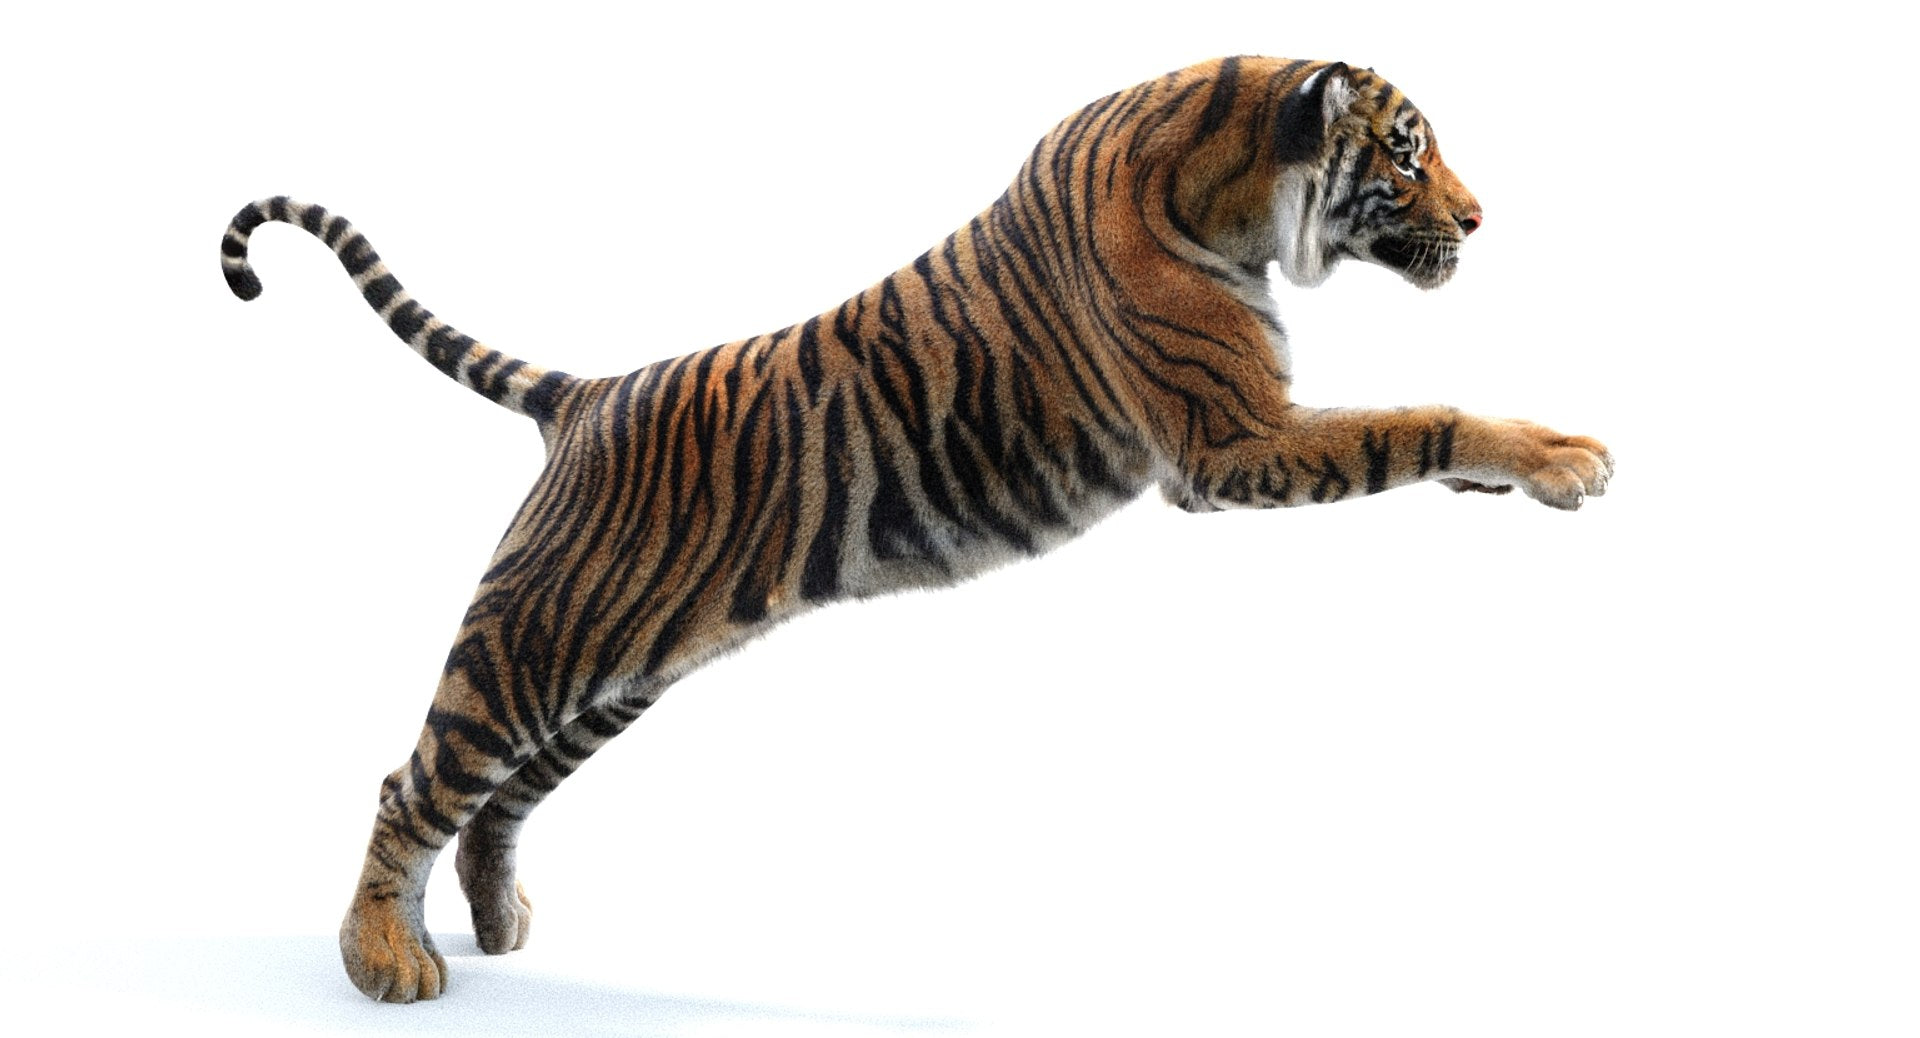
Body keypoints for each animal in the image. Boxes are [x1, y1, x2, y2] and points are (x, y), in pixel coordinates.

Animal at [222, 56, 1611, 1003]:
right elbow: (1413, 420)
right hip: (541, 641)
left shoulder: (1251, 431)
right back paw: (382, 959)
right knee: (414, 781)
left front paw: (1523, 471)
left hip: (619, 670)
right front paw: (1562, 460)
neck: (1224, 183)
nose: (1479, 219)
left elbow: (1412, 423)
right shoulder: (1232, 442)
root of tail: (585, 392)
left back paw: (496, 922)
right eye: (1409, 156)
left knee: (501, 799)